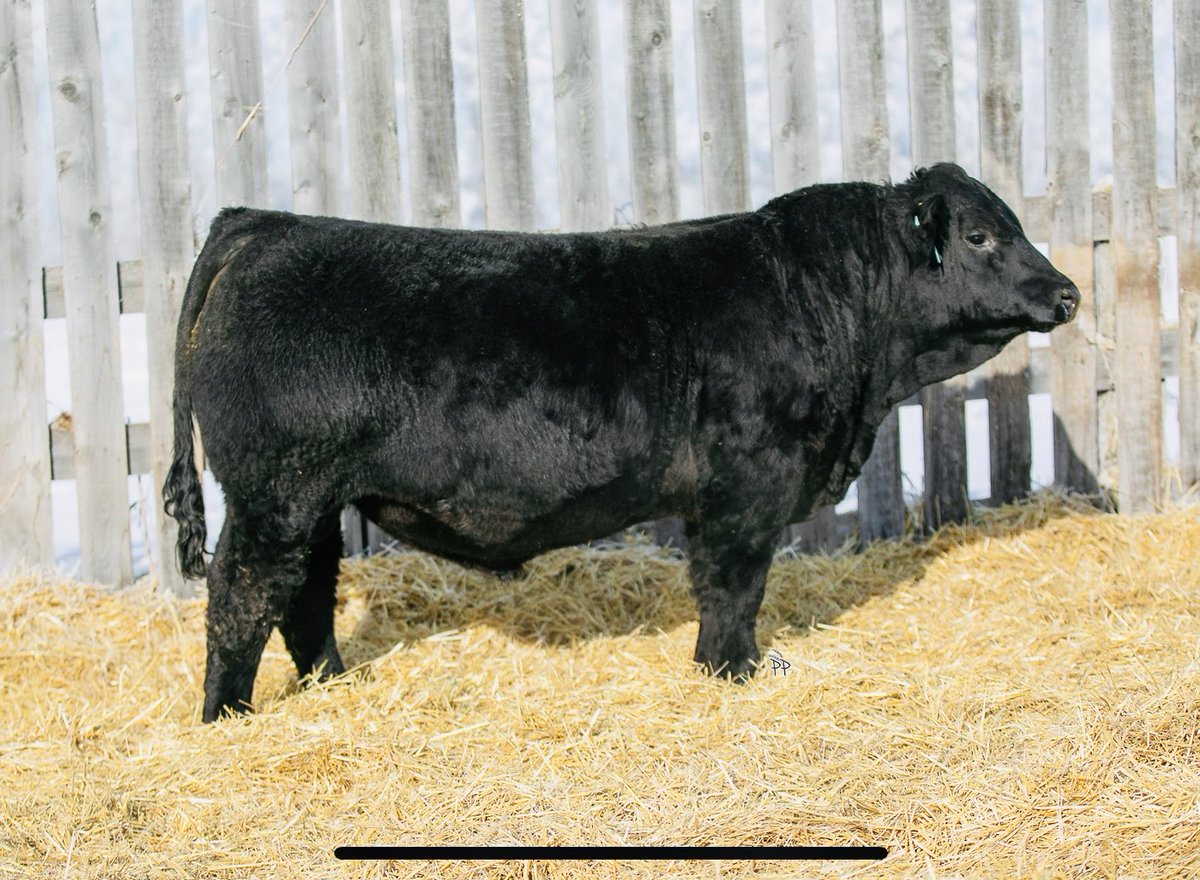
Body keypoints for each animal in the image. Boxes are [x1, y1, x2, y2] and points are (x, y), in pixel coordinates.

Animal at [164, 163, 1080, 722]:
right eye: (980, 237)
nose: (1067, 293)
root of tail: (262, 224)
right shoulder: (750, 483)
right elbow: (734, 587)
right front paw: (735, 673)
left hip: (312, 500)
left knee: (304, 593)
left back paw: (331, 684)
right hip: (275, 493)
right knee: (242, 594)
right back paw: (226, 718)